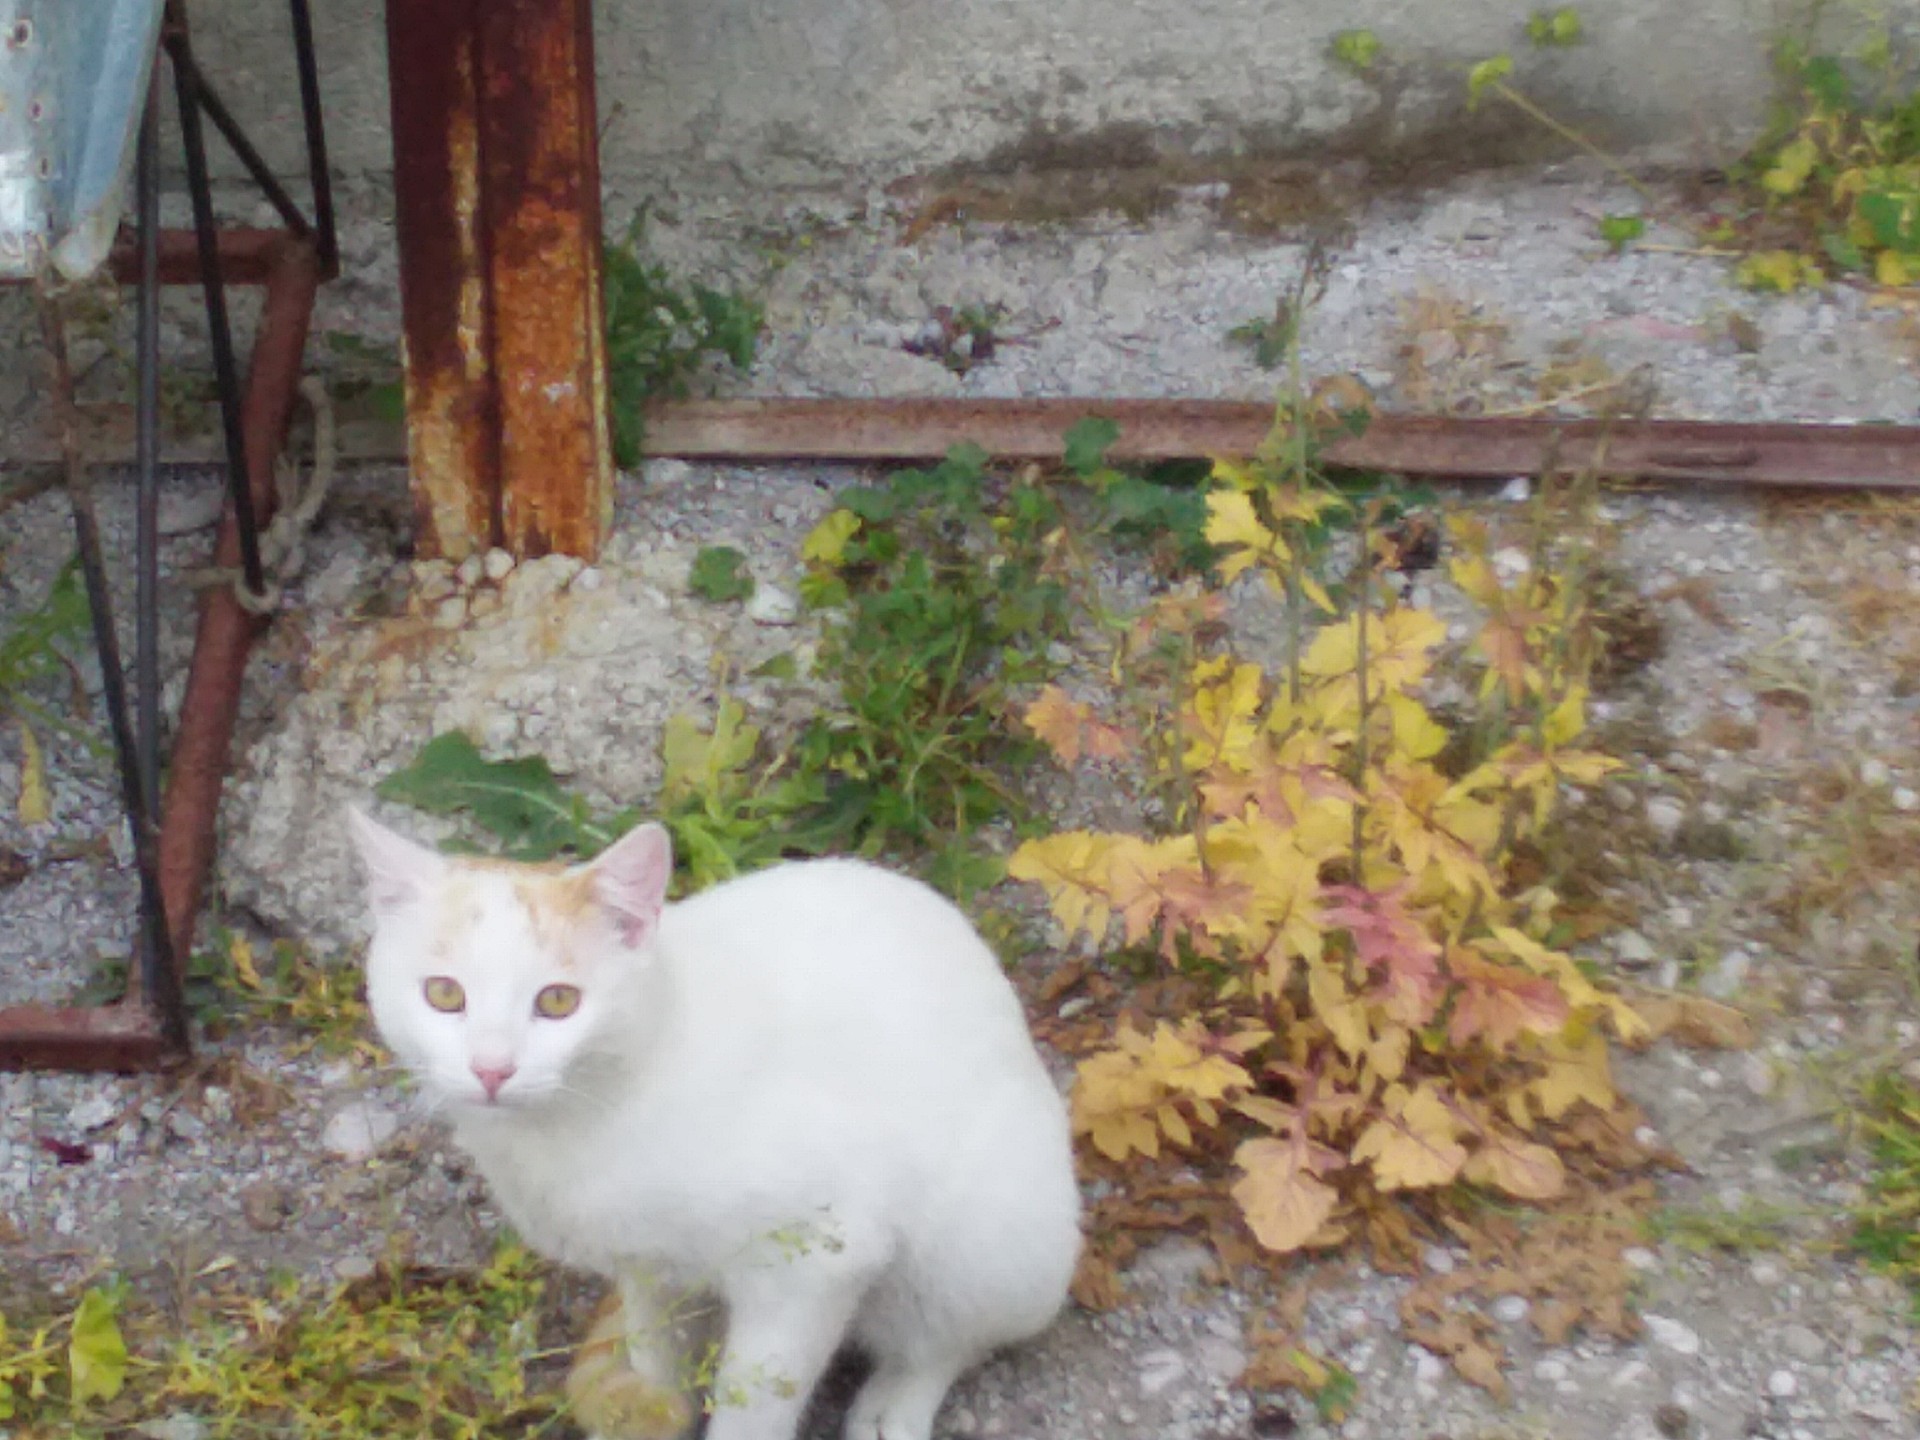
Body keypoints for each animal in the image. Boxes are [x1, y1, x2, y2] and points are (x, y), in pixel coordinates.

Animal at [347, 808, 1083, 1440]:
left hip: (989, 1239)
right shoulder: (647, 1268)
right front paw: (650, 1408)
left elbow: (756, 1407)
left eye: (557, 1002)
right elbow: (656, 1358)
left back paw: (893, 1403)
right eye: (445, 994)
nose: (492, 1068)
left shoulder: (819, 1259)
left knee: (948, 1338)